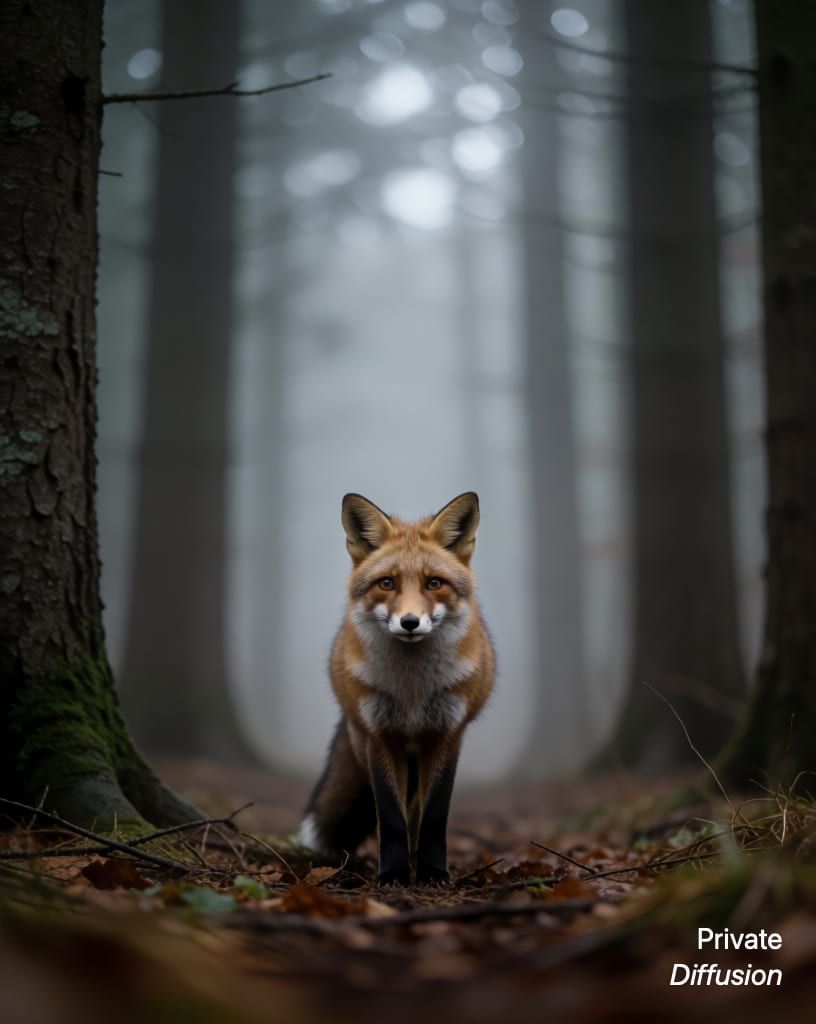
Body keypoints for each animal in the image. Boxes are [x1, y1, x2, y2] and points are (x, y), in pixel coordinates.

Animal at [297, 491, 495, 886]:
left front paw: (433, 872)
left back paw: (418, 861)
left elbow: (434, 815)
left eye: (434, 583)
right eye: (387, 583)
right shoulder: (379, 735)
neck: (411, 691)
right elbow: (389, 816)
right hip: (367, 743)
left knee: (417, 811)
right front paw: (392, 873)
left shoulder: (446, 735)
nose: (410, 622)